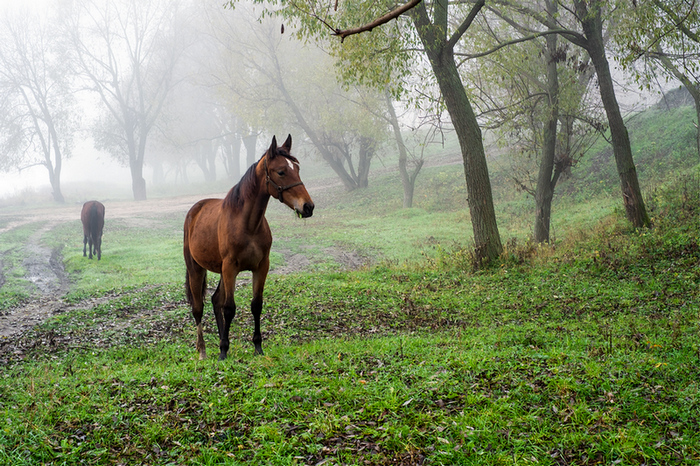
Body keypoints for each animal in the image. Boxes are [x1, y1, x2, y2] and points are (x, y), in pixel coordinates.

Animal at [183, 135, 314, 360]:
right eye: (281, 171)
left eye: (297, 168)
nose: (308, 207)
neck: (248, 224)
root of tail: (194, 210)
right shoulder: (230, 268)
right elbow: (229, 308)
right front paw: (223, 352)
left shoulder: (261, 267)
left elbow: (256, 305)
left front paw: (257, 347)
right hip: (196, 269)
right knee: (198, 308)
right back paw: (203, 351)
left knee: (215, 300)